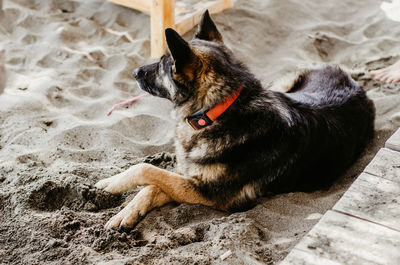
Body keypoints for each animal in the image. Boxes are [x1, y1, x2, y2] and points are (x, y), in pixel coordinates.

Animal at [96, 10, 376, 229]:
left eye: (164, 64)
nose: (134, 72)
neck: (217, 112)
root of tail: (354, 83)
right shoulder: (188, 175)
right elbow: (153, 185)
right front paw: (127, 211)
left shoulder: (210, 193)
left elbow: (147, 170)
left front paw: (112, 183)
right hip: (281, 86)